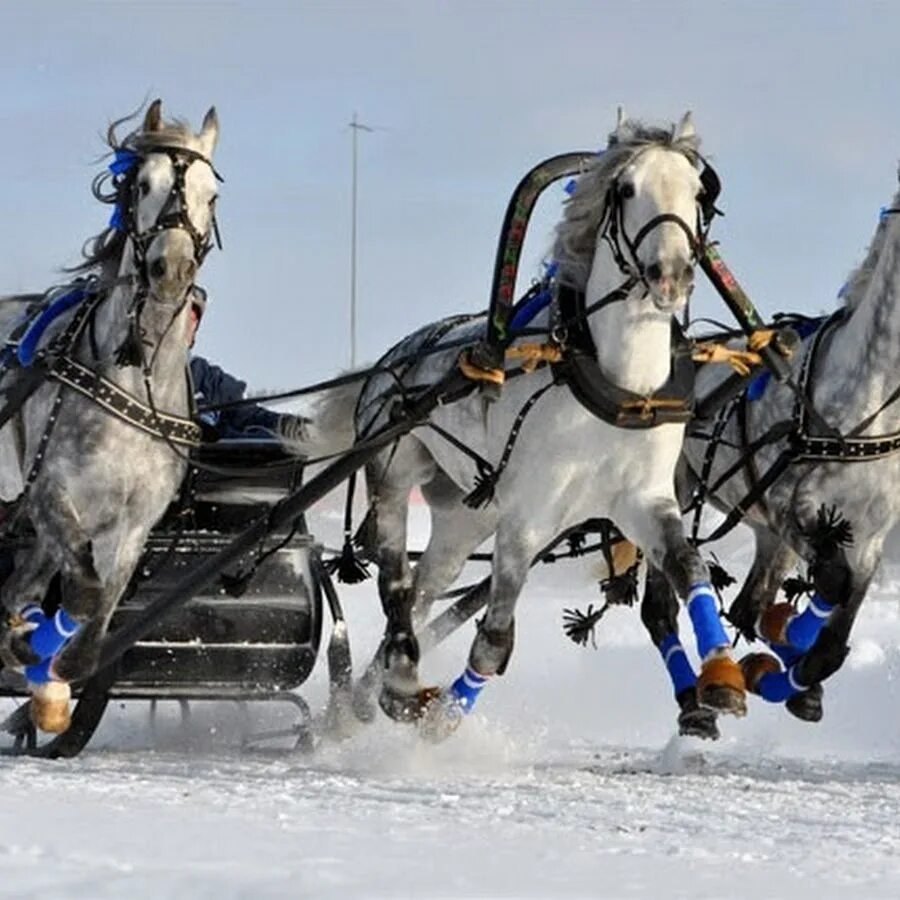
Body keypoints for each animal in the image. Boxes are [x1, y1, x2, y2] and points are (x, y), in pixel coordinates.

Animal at [0, 100, 221, 732]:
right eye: (142, 184)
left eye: (211, 194)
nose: (171, 268)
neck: (133, 382)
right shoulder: (51, 493)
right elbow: (84, 591)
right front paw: (36, 658)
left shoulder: (134, 523)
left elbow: (98, 608)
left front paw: (50, 675)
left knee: (19, 589)